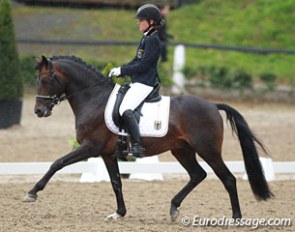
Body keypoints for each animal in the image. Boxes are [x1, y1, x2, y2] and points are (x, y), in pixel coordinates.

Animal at [23, 55, 276, 222]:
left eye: (45, 80)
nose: (38, 111)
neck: (93, 99)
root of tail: (213, 105)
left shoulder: (90, 147)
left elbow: (57, 163)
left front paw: (32, 193)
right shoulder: (106, 153)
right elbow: (116, 182)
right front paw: (118, 213)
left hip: (208, 150)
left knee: (228, 179)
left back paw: (236, 217)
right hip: (182, 150)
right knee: (198, 175)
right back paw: (174, 208)